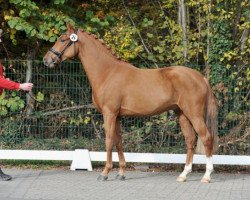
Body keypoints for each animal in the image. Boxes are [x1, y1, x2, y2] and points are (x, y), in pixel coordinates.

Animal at [44, 23, 218, 183]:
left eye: (63, 39)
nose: (46, 60)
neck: (107, 72)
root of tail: (201, 77)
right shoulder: (117, 116)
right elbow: (119, 142)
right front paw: (121, 173)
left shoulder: (109, 113)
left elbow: (108, 141)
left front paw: (105, 173)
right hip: (181, 114)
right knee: (190, 140)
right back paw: (183, 175)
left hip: (194, 114)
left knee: (206, 138)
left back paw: (207, 176)